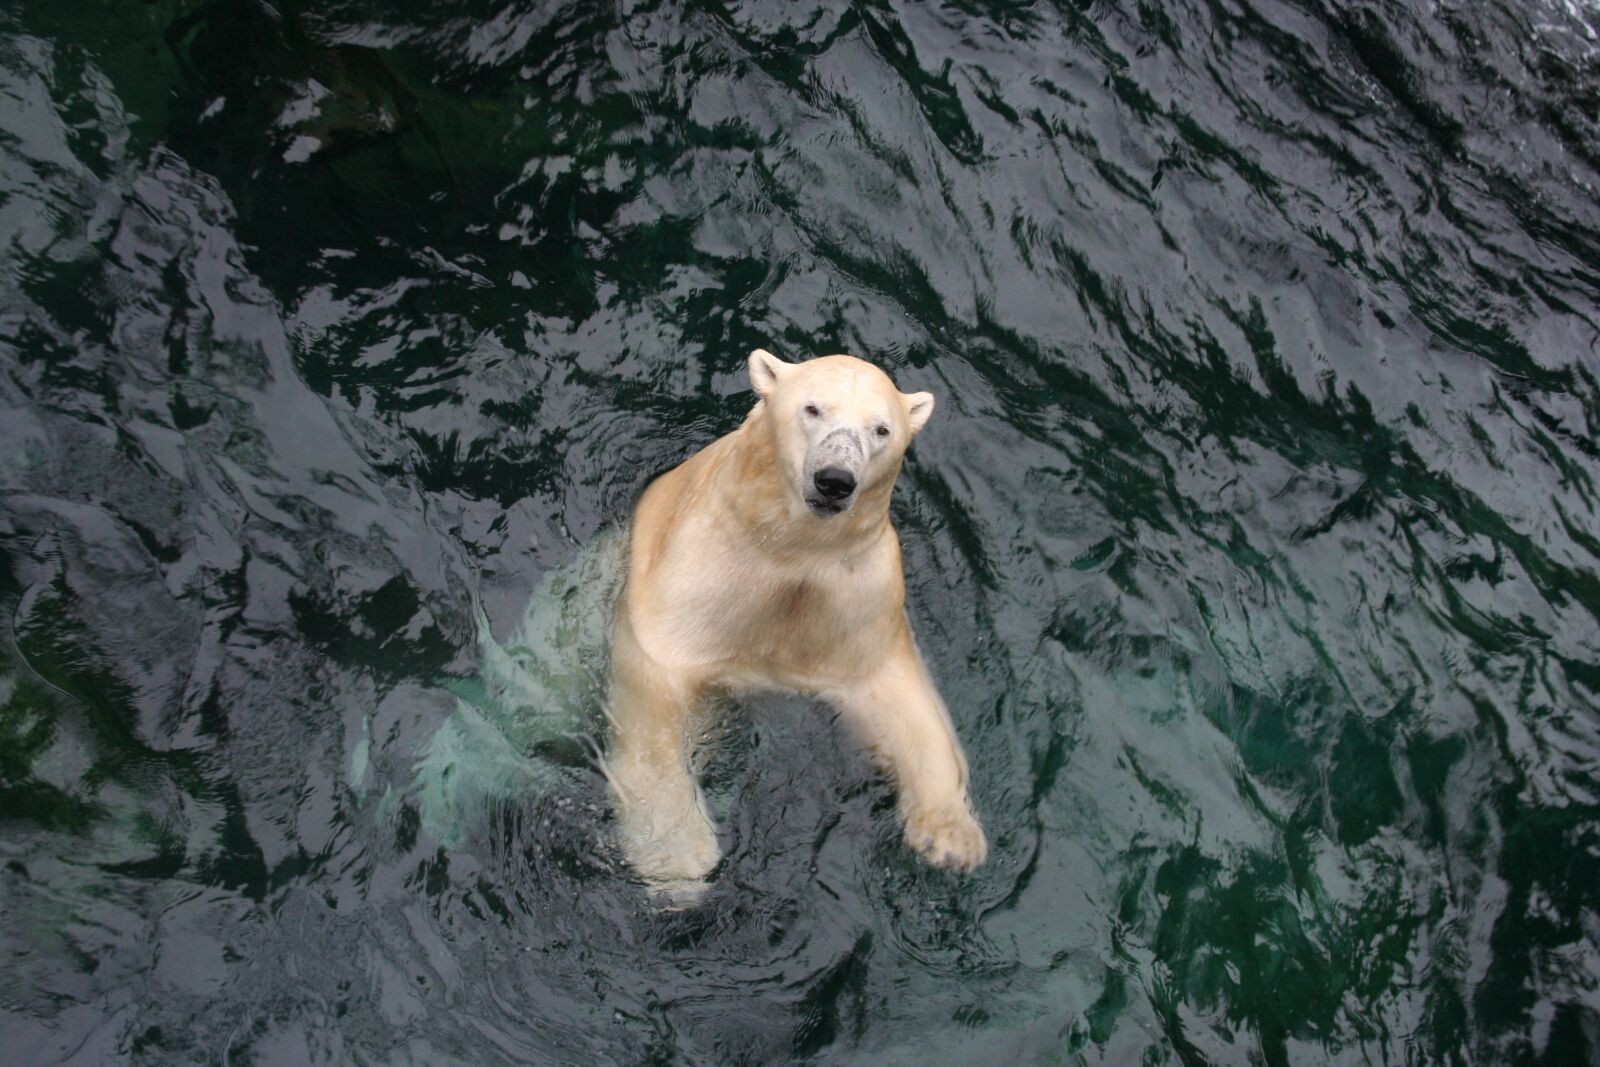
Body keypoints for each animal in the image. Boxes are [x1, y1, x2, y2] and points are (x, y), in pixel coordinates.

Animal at [604, 348, 987, 890]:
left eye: (881, 429)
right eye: (812, 408)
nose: (835, 480)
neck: (791, 549)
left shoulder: (856, 596)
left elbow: (899, 699)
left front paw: (951, 840)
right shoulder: (699, 572)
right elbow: (656, 698)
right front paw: (678, 854)